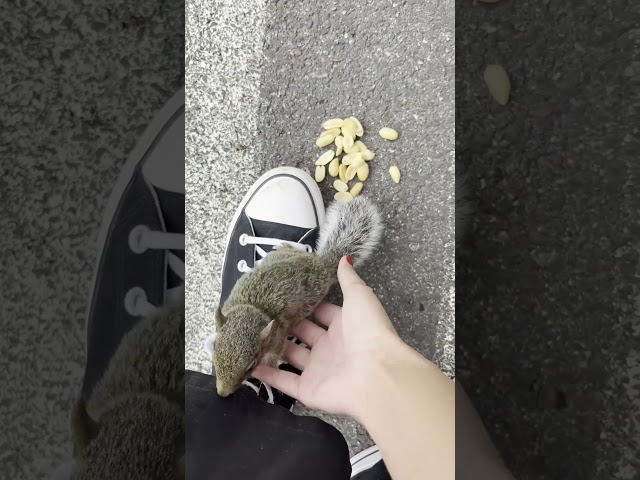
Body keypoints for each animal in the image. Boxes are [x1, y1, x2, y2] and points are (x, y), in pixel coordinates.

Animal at [213, 196, 383, 397]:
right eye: (215, 350)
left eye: (250, 367)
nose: (222, 393)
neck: (253, 307)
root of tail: (320, 265)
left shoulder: (278, 335)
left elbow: (273, 357)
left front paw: (271, 374)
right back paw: (285, 245)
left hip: (310, 298)